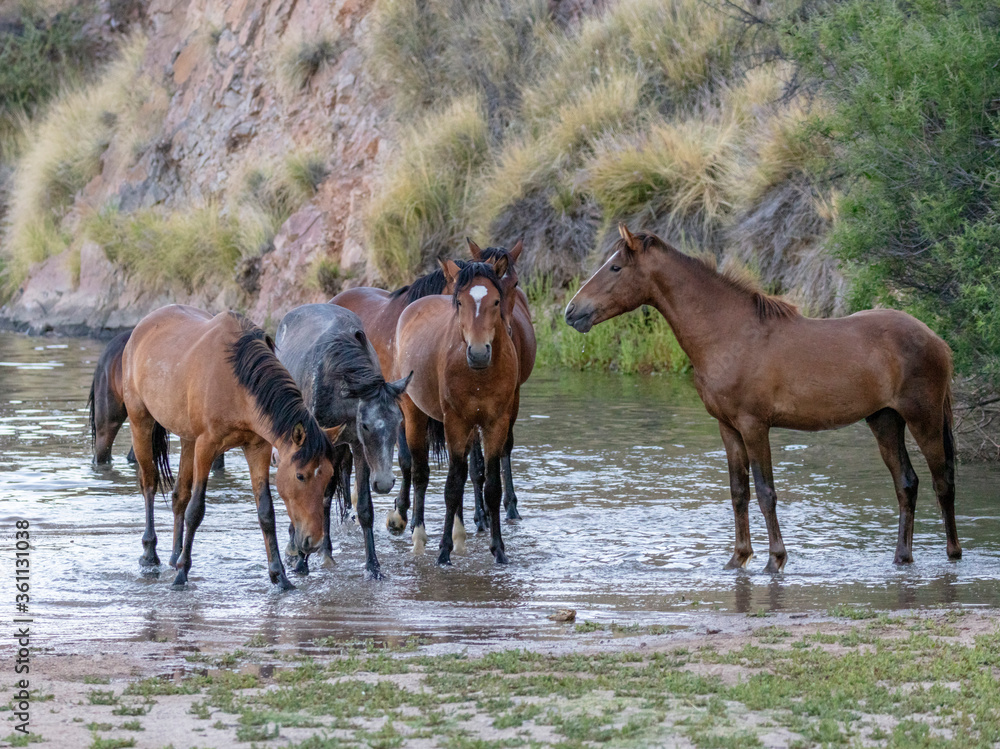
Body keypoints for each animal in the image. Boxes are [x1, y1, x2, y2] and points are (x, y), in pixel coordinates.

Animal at [121, 305, 341, 589]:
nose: (313, 542)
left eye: (328, 476)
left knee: (179, 496)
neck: (236, 382)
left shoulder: (257, 448)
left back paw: (174, 555)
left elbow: (266, 512)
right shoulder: (206, 446)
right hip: (141, 421)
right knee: (149, 484)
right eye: (300, 476)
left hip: (187, 439)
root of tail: (143, 325)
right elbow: (196, 510)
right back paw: (150, 554)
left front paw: (280, 576)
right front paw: (182, 575)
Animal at [274, 303, 411, 579]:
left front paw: (373, 566)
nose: (384, 483)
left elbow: (363, 508)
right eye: (365, 424)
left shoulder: (357, 447)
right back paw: (297, 549)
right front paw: (302, 562)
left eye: (398, 422)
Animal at [390, 257, 519, 565]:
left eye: (496, 301)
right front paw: (443, 552)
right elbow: (451, 487)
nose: (479, 352)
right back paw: (419, 536)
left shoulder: (495, 424)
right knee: (421, 473)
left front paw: (499, 550)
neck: (480, 376)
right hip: (415, 415)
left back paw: (460, 536)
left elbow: (491, 487)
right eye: (460, 302)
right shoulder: (455, 423)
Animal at [565, 225, 959, 572]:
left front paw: (775, 560)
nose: (571, 311)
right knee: (907, 484)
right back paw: (902, 557)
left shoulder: (754, 426)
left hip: (923, 418)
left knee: (942, 481)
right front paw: (737, 558)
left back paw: (953, 553)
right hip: (885, 420)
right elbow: (739, 492)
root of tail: (937, 340)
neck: (730, 334)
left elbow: (766, 491)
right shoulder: (727, 428)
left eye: (616, 267)